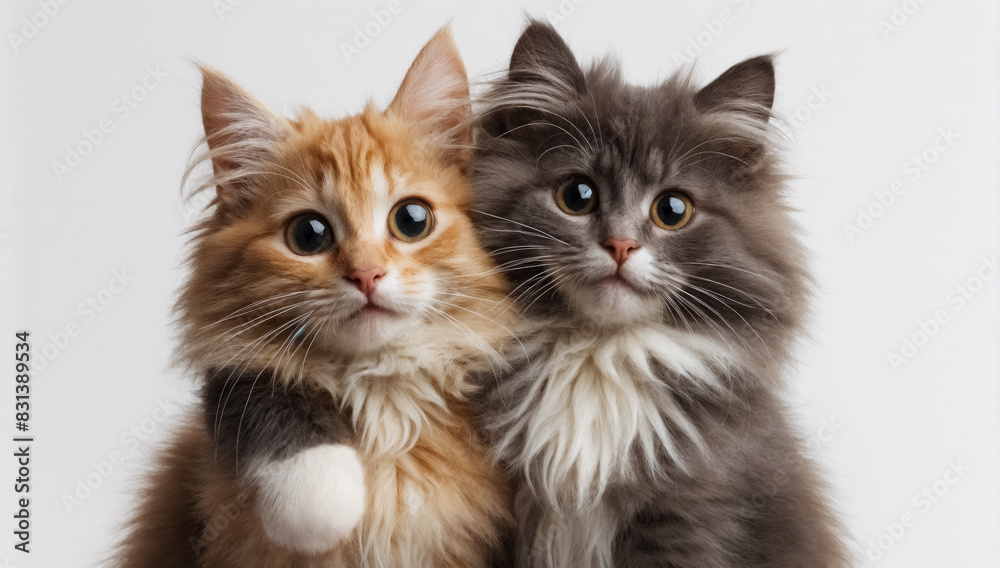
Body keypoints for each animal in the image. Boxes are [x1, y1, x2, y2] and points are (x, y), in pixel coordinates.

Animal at [114, 27, 512, 568]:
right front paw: (322, 507)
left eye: (412, 220)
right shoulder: (232, 400)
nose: (366, 274)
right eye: (308, 235)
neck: (380, 390)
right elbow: (267, 405)